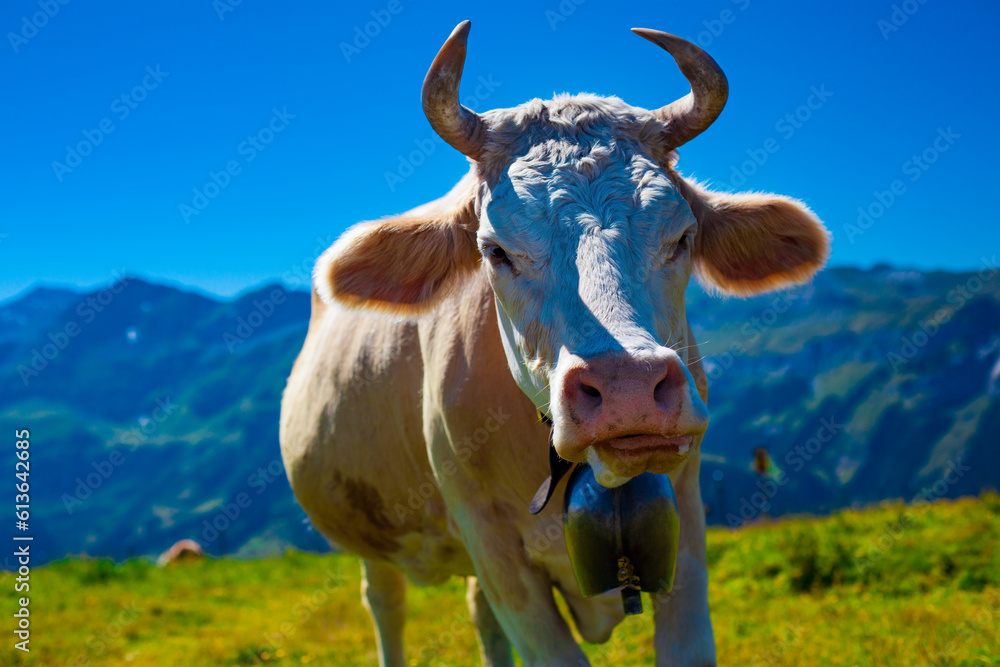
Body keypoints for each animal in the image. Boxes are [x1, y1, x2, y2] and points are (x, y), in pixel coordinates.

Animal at [282, 20, 828, 667]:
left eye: (682, 237)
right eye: (495, 251)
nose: (627, 390)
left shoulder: (688, 517)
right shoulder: (491, 543)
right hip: (372, 530)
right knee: (385, 603)